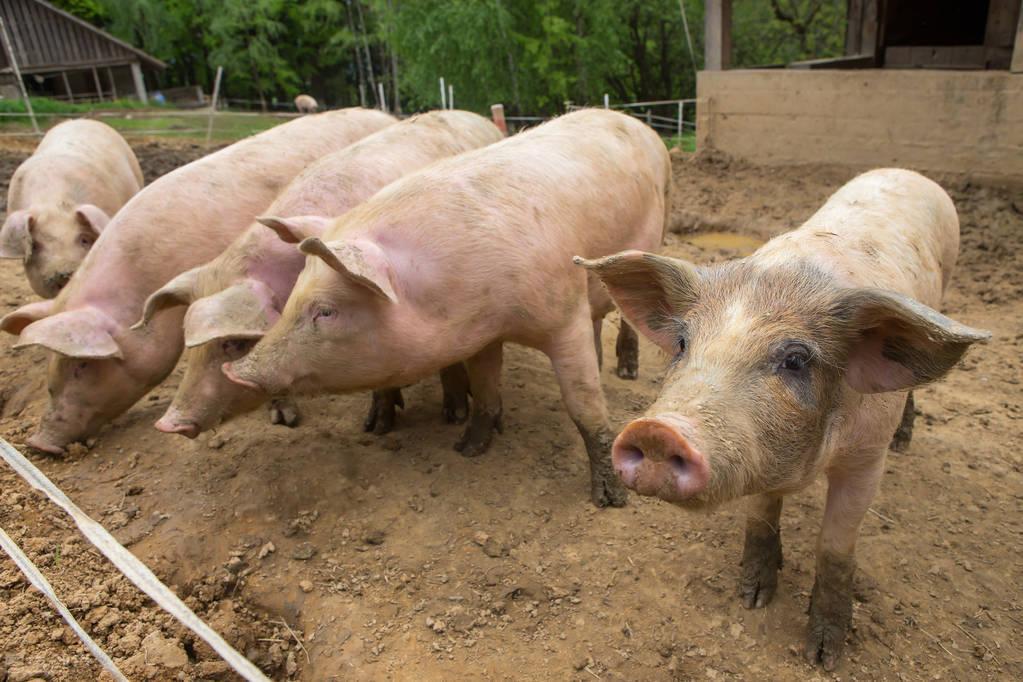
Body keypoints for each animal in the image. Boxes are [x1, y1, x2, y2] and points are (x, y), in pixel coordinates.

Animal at [221, 107, 671, 507]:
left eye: (327, 311)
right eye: (295, 292)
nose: (236, 369)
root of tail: (631, 120)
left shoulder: (563, 314)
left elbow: (584, 405)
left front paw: (609, 500)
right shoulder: (486, 332)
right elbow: (486, 387)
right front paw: (468, 449)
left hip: (657, 233)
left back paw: (625, 371)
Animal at [585, 167, 990, 670]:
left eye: (796, 359)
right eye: (682, 343)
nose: (657, 431)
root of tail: (906, 172)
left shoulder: (866, 457)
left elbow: (835, 545)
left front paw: (824, 657)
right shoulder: (761, 454)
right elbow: (761, 514)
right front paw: (752, 597)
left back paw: (905, 441)